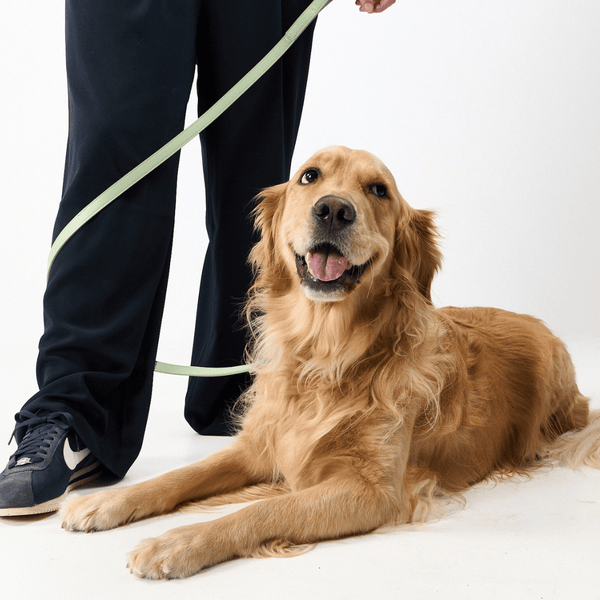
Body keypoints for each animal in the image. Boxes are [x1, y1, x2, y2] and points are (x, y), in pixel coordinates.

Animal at [59, 144, 596, 576]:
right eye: (309, 176)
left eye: (378, 190)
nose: (334, 209)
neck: (325, 352)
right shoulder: (260, 446)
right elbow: (181, 475)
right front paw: (107, 501)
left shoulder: (373, 491)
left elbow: (261, 511)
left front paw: (176, 543)